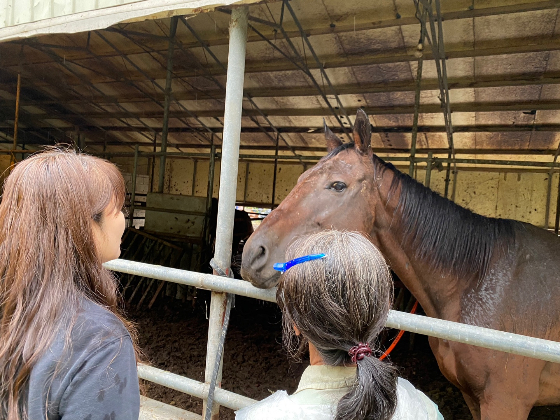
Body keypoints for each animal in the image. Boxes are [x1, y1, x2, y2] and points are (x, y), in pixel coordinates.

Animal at [240, 109, 560, 420]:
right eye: (299, 180)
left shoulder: (506, 401)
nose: (253, 254)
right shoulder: (472, 397)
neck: (476, 281)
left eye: (338, 185)